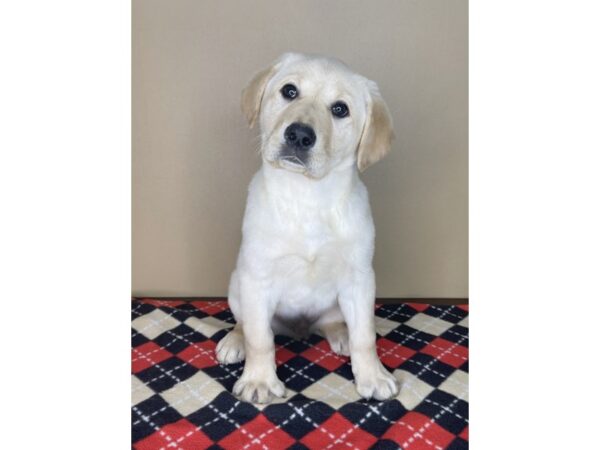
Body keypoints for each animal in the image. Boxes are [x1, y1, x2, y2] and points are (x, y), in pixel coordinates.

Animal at [217, 52, 398, 404]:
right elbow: (260, 339)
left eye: (340, 109)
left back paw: (340, 333)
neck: (308, 197)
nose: (299, 135)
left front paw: (372, 375)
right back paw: (235, 340)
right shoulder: (257, 277)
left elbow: (365, 336)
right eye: (289, 91)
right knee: (247, 324)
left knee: (335, 322)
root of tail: (299, 330)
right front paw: (259, 380)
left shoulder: (359, 278)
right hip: (237, 284)